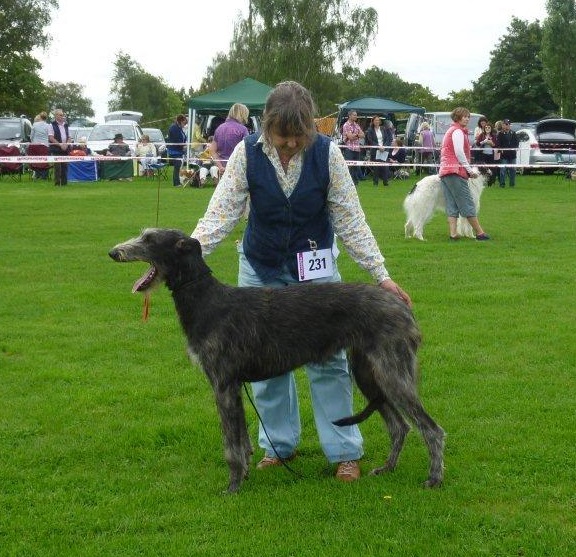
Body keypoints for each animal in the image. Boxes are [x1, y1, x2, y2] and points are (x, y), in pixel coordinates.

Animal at [111, 226, 446, 490]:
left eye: (149, 239)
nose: (113, 252)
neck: (206, 299)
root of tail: (401, 305)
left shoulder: (222, 384)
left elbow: (231, 445)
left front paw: (232, 487)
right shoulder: (234, 386)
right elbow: (242, 441)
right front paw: (245, 474)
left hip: (392, 372)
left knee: (431, 429)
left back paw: (434, 478)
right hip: (369, 374)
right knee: (399, 427)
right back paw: (387, 468)